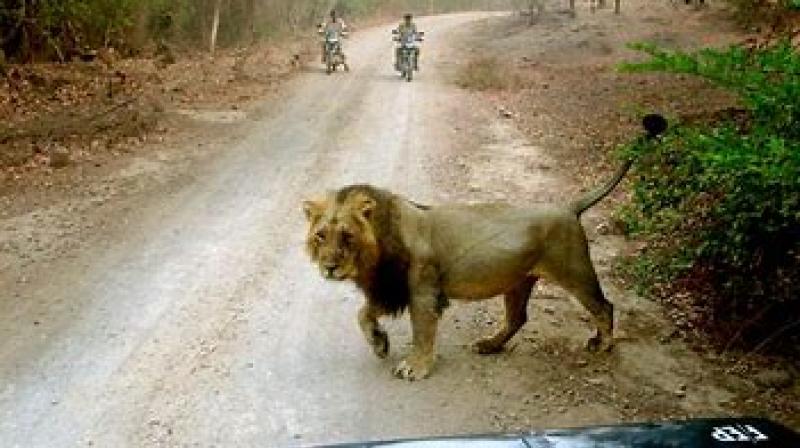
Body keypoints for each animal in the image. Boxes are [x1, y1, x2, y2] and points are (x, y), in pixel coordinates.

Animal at [304, 114, 664, 380]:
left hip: (575, 272)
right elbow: (362, 314)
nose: (329, 267)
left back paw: (602, 345)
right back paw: (490, 345)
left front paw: (416, 367)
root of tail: (568, 208)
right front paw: (379, 344)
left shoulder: (422, 292)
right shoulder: (391, 289)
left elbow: (422, 333)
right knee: (518, 318)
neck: (376, 254)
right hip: (519, 281)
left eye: (347, 236)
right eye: (321, 236)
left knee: (604, 307)